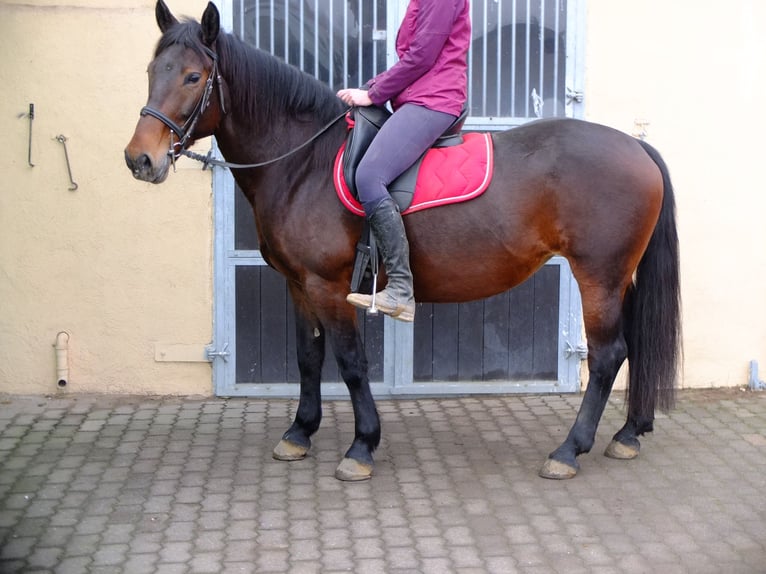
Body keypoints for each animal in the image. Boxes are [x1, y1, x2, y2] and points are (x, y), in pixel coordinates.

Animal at [126, 2, 684, 484]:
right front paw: (299, 432)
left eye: (193, 77)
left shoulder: (329, 287)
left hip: (599, 276)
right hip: (618, 277)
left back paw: (569, 450)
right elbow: (309, 357)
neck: (304, 161)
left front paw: (361, 446)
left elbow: (351, 363)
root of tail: (636, 146)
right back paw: (628, 434)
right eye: (153, 71)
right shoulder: (298, 285)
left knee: (608, 354)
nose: (140, 159)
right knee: (633, 343)